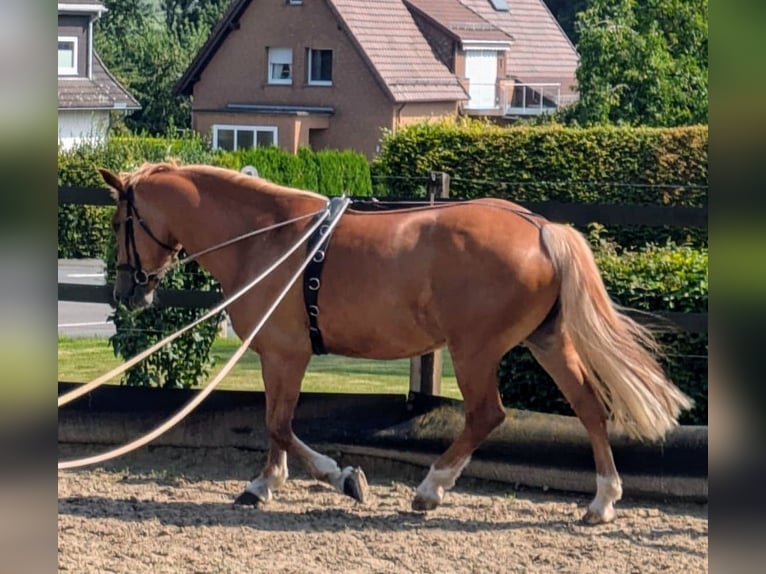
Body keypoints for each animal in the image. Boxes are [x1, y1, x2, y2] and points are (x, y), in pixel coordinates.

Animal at [99, 163, 692, 528]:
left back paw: (430, 489)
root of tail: (540, 226)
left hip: (474, 351)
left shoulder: (288, 355)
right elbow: (273, 426)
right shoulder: (276, 357)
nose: (128, 290)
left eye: (119, 220)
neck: (266, 238)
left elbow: (279, 425)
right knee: (589, 406)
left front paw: (343, 479)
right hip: (547, 340)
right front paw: (263, 484)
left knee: (487, 414)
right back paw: (602, 501)